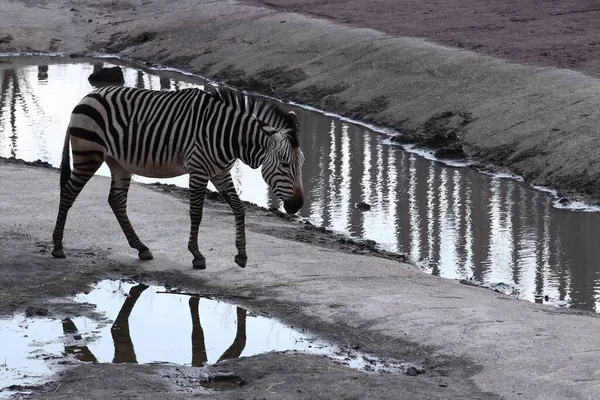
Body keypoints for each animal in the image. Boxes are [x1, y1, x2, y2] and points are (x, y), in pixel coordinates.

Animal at [51, 86, 304, 270]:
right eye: (284, 164)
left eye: (301, 164)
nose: (297, 205)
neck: (228, 136)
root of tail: (87, 96)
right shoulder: (199, 169)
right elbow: (196, 213)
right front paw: (197, 255)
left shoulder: (220, 172)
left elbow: (239, 208)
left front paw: (241, 255)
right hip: (88, 154)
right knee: (69, 193)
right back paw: (57, 246)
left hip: (119, 163)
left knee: (116, 201)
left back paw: (141, 247)